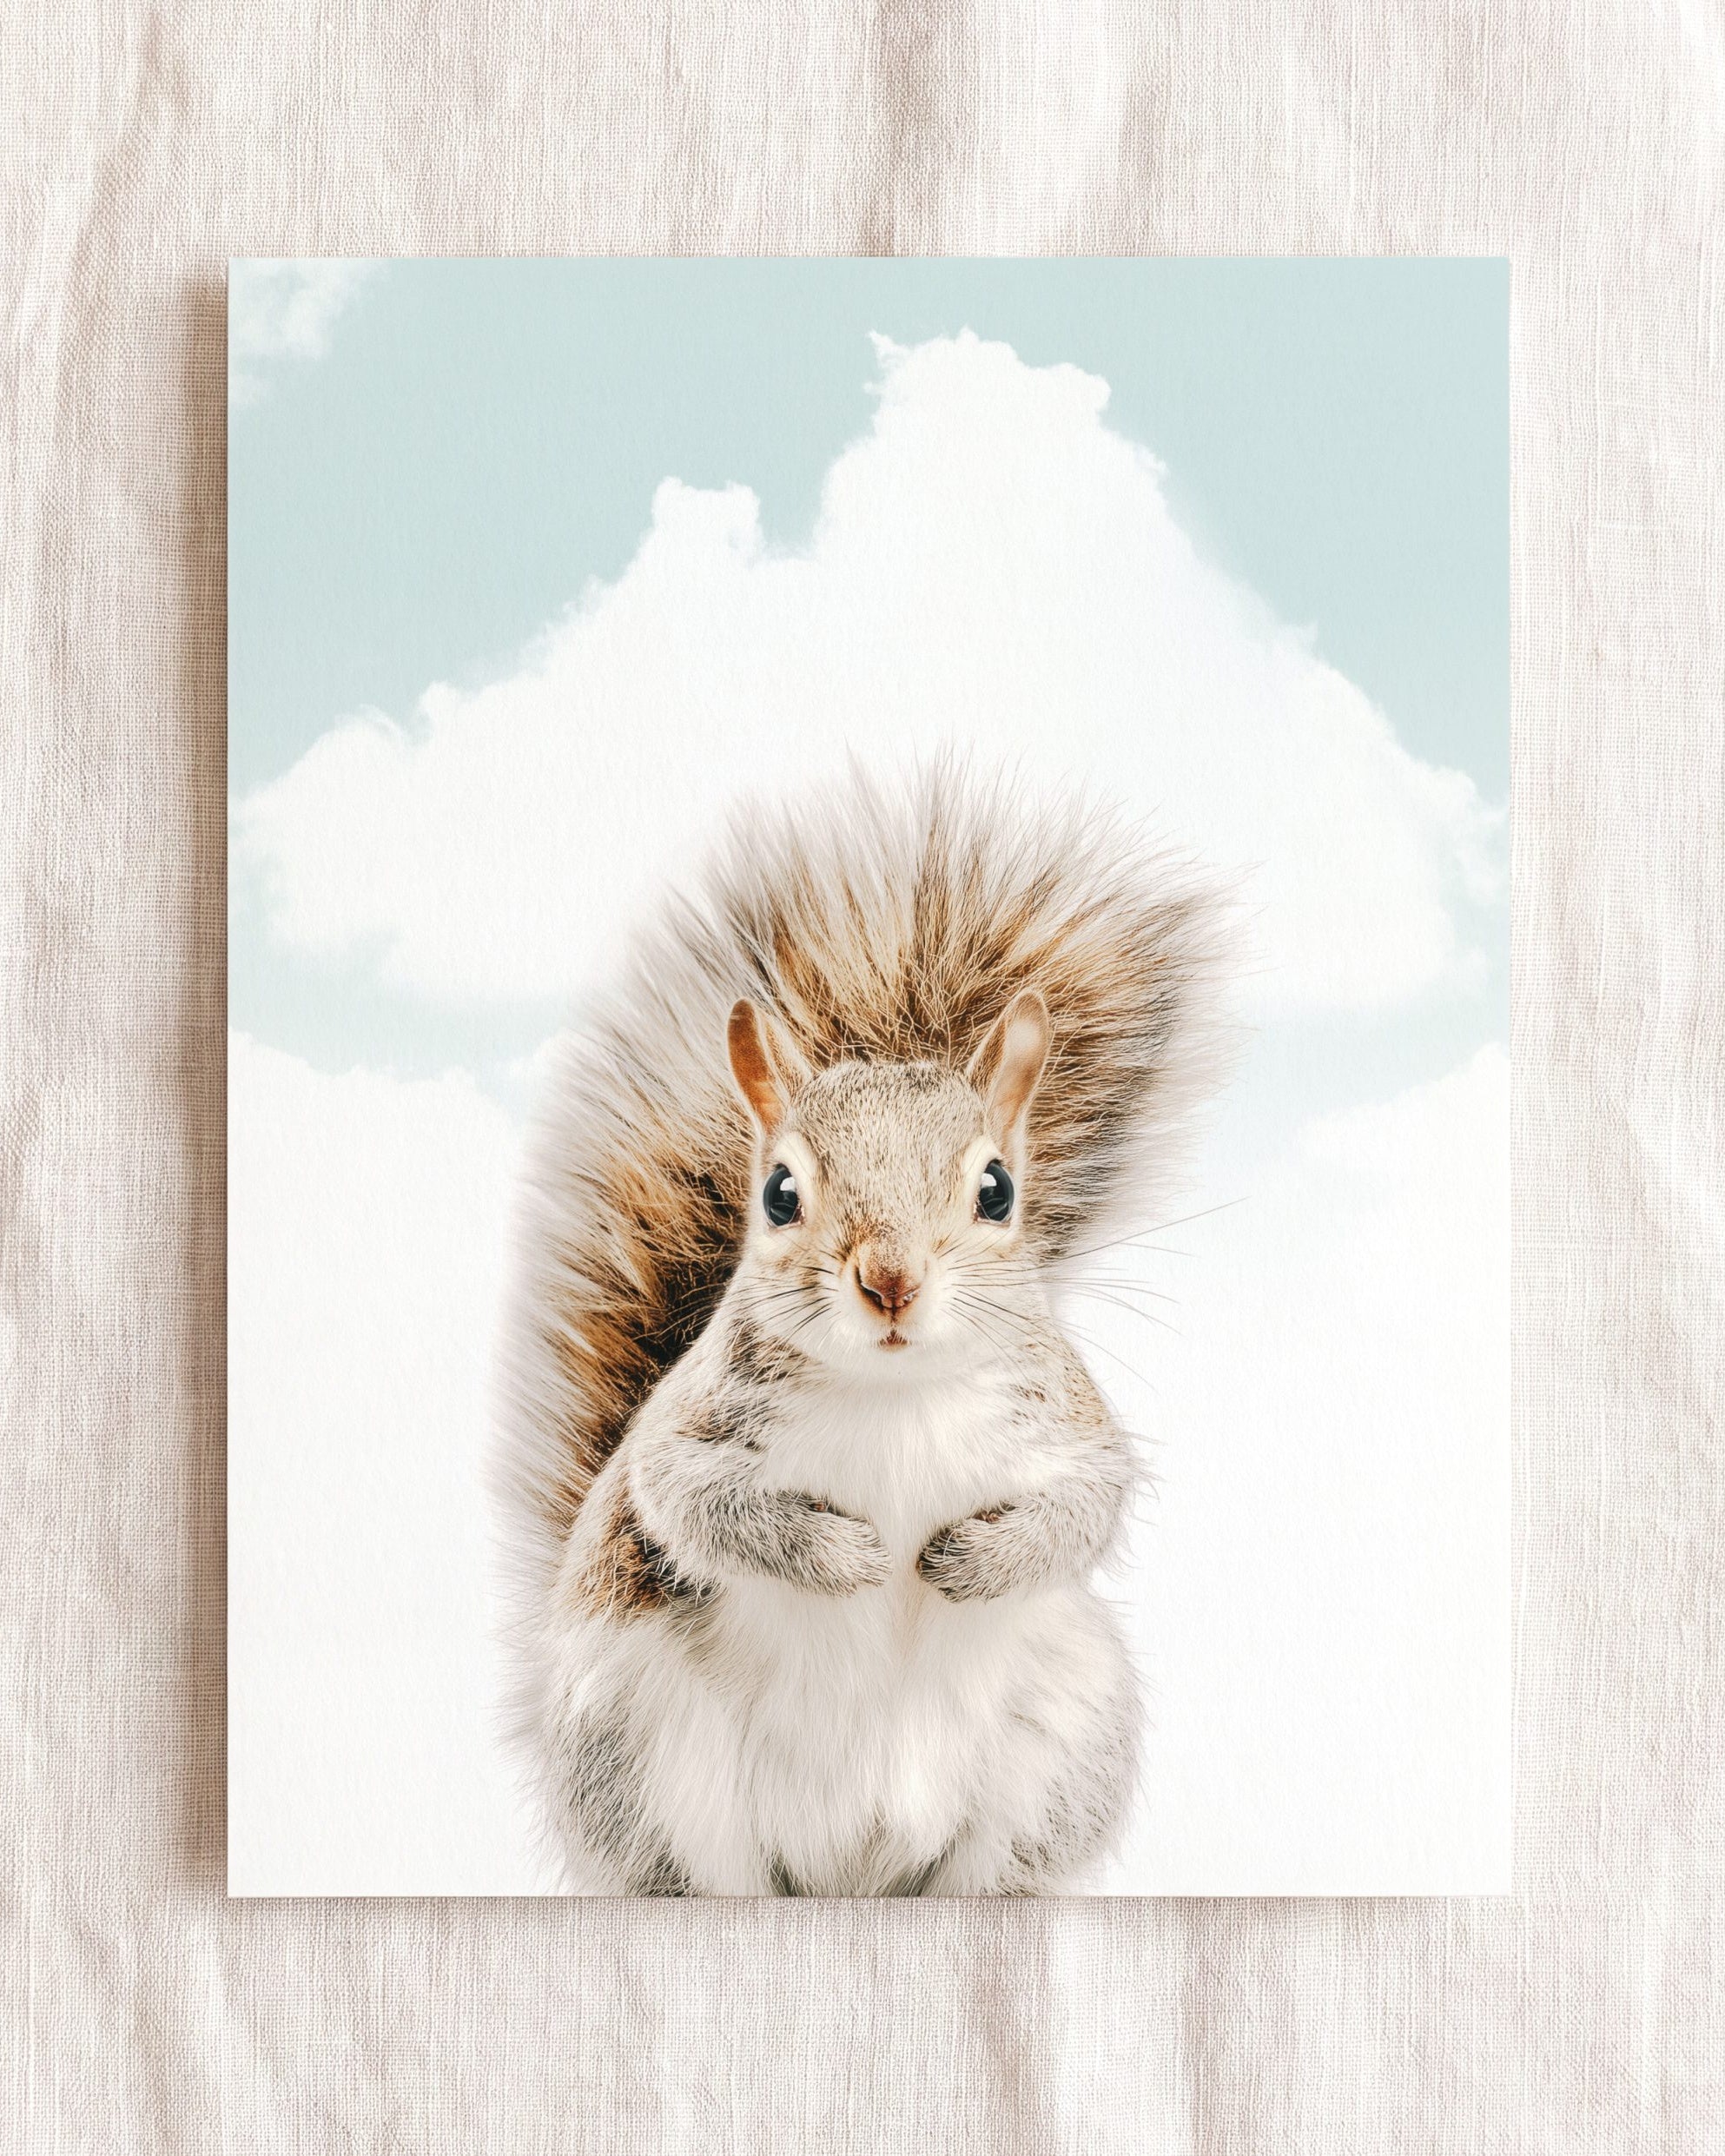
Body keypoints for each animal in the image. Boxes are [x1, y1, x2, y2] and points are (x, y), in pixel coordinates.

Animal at [493, 763, 1229, 1895]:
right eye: (780, 1193)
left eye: (998, 1189)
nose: (890, 1279)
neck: (895, 1394)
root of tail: (852, 1870)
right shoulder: (688, 1430)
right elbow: (692, 1501)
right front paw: (845, 1558)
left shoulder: (1068, 1425)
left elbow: (1086, 1508)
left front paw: (970, 1561)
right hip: (640, 1750)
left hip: (1061, 1743)